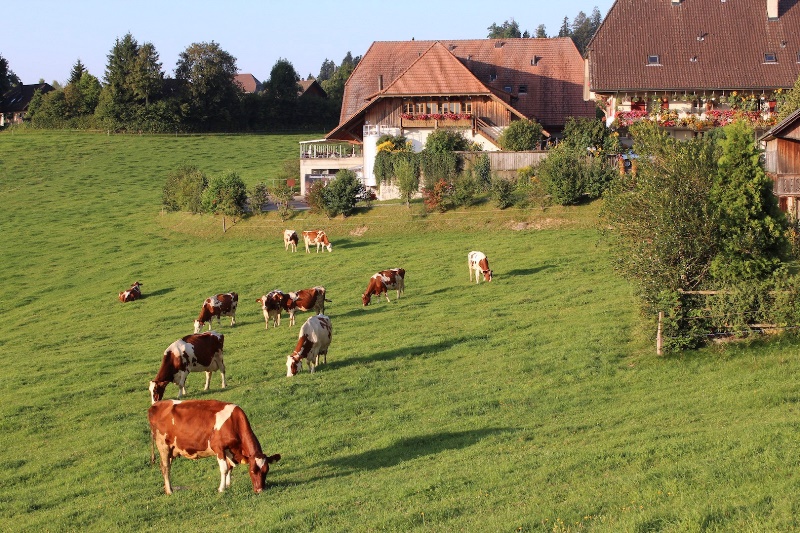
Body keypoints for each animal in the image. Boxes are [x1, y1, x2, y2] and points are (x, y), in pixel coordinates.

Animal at [149, 400, 282, 494]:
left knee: (166, 466)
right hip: (163, 446)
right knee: (166, 467)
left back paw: (168, 488)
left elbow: (230, 467)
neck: (233, 422)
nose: (260, 490)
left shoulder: (229, 450)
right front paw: (221, 489)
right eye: (252, 471)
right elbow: (224, 469)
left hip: (172, 449)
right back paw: (170, 491)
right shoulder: (219, 448)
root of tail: (156, 405)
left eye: (266, 470)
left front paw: (228, 484)